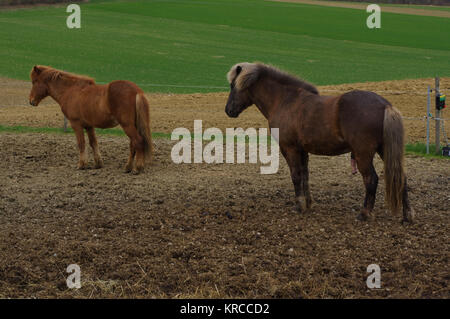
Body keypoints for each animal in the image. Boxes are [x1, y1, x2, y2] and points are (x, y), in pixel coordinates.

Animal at [227, 62, 414, 222]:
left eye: (232, 86)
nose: (228, 110)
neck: (285, 100)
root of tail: (385, 105)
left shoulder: (289, 148)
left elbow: (296, 175)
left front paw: (299, 205)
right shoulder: (302, 150)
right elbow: (305, 175)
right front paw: (308, 203)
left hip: (363, 154)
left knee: (371, 179)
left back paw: (364, 213)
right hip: (384, 150)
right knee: (401, 177)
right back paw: (407, 216)